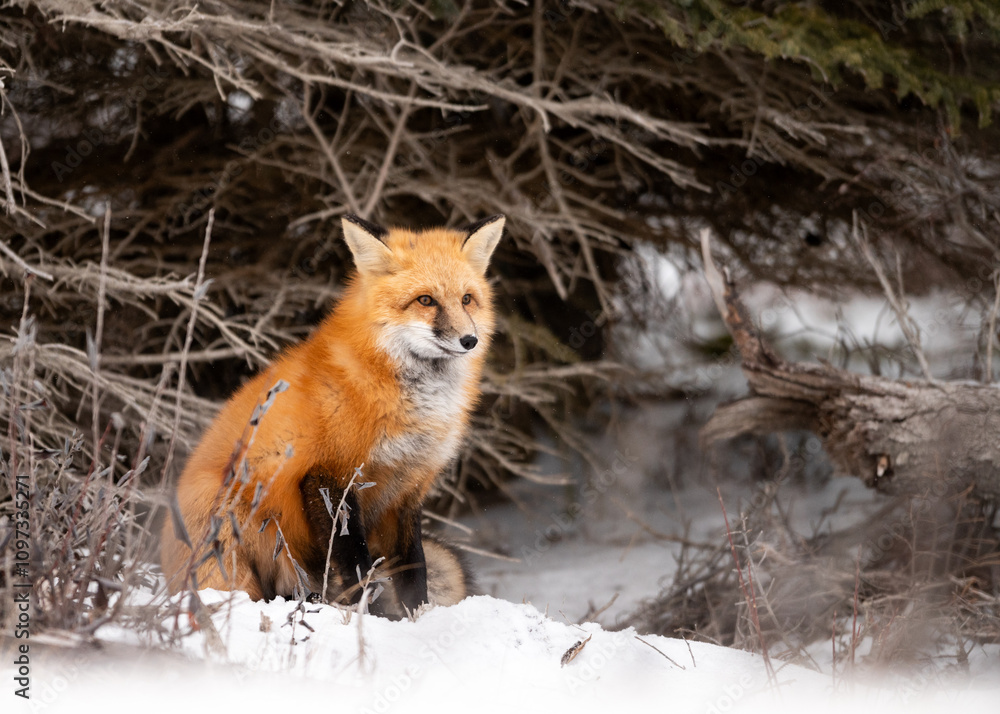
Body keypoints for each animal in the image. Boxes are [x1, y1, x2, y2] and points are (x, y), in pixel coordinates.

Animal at [159, 213, 505, 616]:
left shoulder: (407, 490)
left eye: (467, 299)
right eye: (425, 300)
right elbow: (355, 565)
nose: (470, 340)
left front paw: (414, 617)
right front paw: (367, 618)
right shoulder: (329, 475)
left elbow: (412, 567)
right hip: (234, 514)